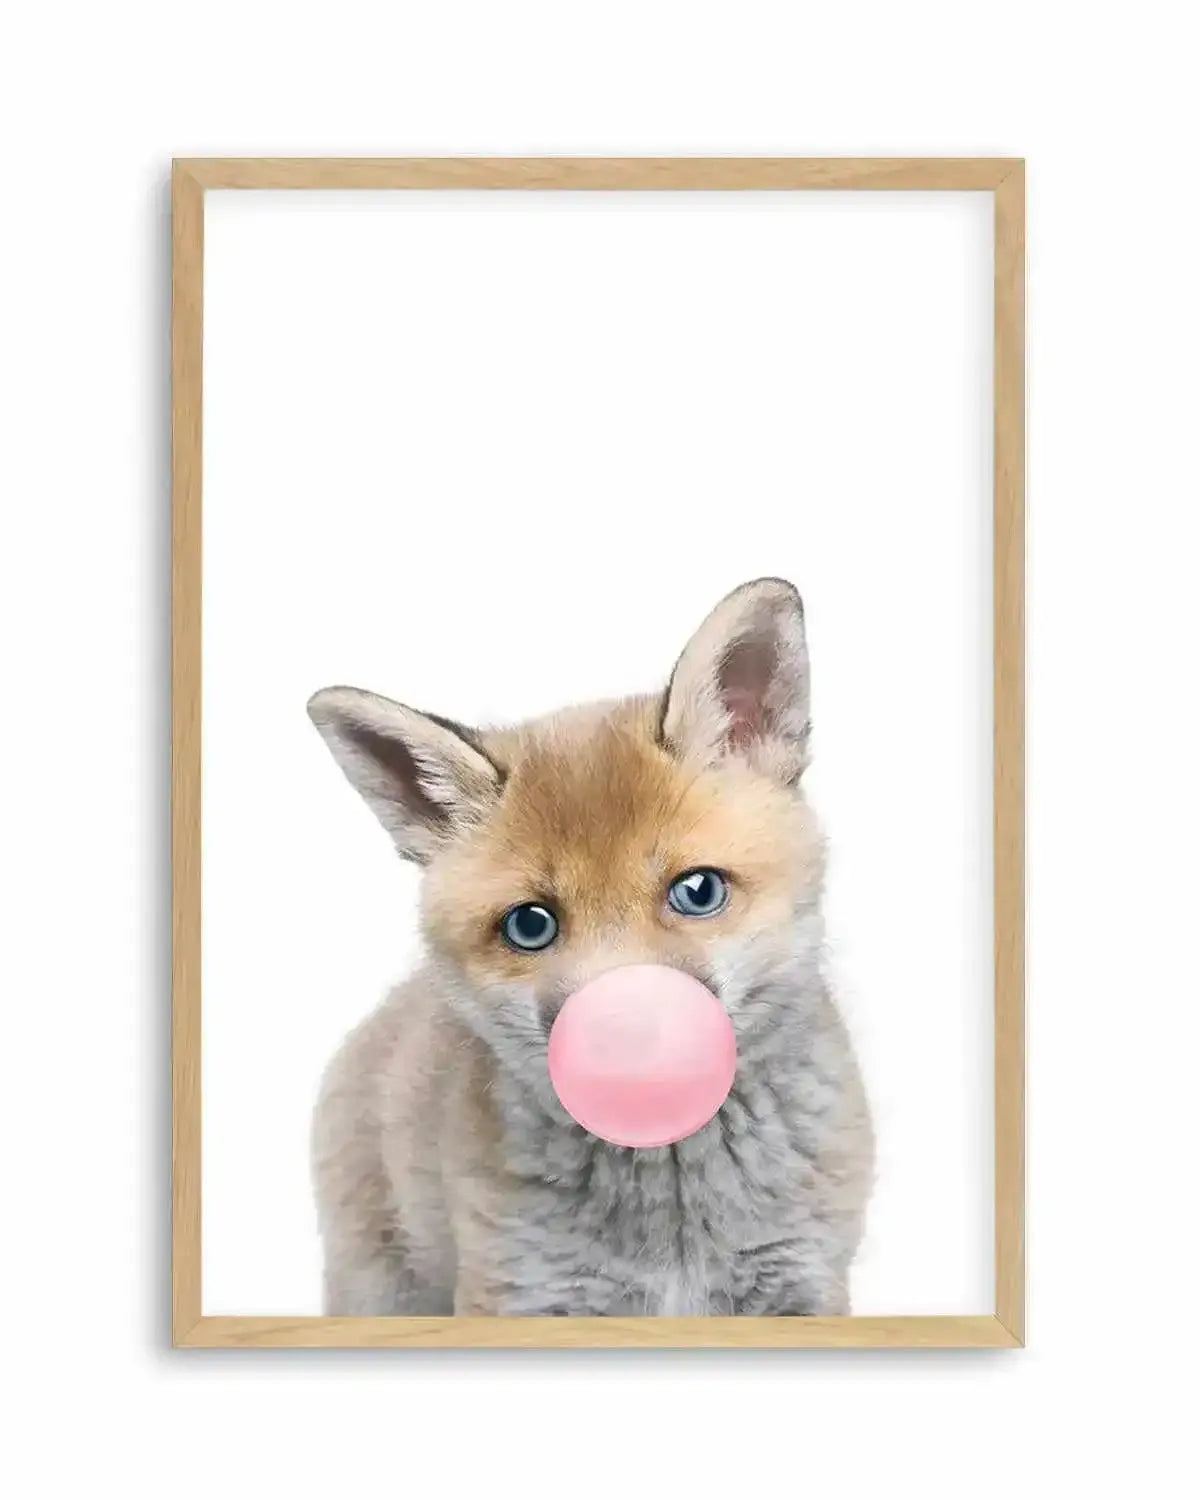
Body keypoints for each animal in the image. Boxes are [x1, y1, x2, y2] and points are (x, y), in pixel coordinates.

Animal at [307, 577, 874, 1317]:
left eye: (697, 891)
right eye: (530, 925)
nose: (624, 1043)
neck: (675, 1233)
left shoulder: (801, 1282)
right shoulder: (523, 1292)